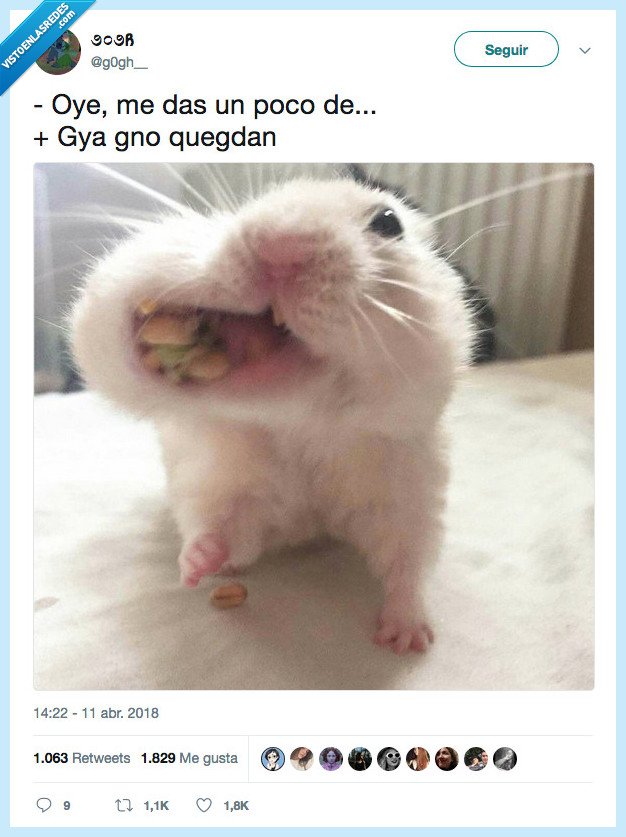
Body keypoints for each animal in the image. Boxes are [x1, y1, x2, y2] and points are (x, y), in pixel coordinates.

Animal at [71, 167, 476, 655]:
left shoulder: (406, 491)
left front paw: (406, 641)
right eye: (253, 205)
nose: (278, 247)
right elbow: (222, 529)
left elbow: (408, 561)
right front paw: (197, 567)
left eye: (387, 222)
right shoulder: (225, 488)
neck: (298, 424)